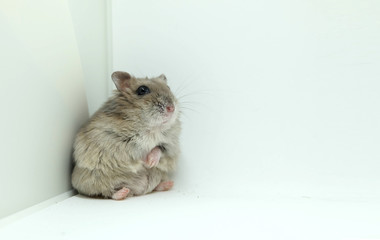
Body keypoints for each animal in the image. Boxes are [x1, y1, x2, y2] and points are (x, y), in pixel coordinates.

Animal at [72, 71, 183, 201]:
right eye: (142, 90)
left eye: (168, 88)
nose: (171, 108)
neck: (151, 128)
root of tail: (139, 191)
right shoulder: (118, 144)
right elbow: (134, 155)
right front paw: (147, 162)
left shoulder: (169, 144)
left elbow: (158, 148)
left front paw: (152, 162)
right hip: (93, 181)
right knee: (107, 193)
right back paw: (123, 192)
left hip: (159, 175)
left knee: (155, 186)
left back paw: (167, 184)